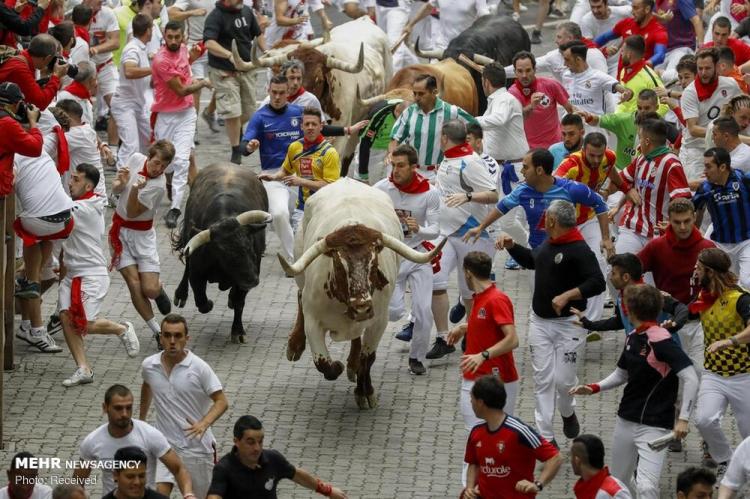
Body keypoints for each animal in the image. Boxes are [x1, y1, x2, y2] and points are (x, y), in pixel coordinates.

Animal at [173, 164, 274, 344]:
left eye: (250, 247)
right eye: (226, 255)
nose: (252, 280)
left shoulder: (252, 269)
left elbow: (239, 301)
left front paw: (238, 331)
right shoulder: (197, 274)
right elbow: (202, 302)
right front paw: (209, 303)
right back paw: (181, 294)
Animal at [282, 180, 446, 410]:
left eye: (373, 260)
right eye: (338, 262)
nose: (362, 307)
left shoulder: (378, 321)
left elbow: (367, 358)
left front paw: (364, 391)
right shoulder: (313, 321)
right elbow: (324, 364)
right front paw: (338, 366)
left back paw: (352, 364)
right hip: (300, 273)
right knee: (299, 295)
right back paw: (295, 345)